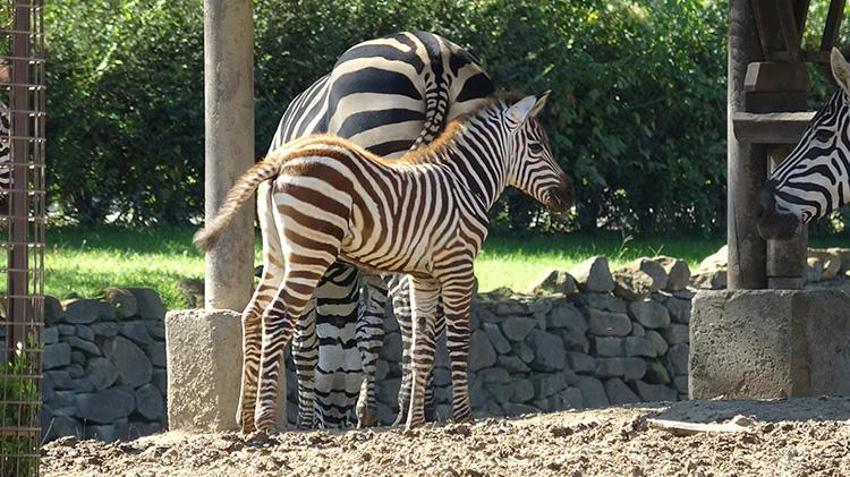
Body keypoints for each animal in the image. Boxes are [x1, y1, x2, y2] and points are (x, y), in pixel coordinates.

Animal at [194, 90, 574, 432]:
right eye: (537, 148)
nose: (569, 196)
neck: (464, 183)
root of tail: (282, 160)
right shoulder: (458, 265)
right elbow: (458, 341)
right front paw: (464, 419)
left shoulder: (424, 275)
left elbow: (422, 345)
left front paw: (414, 423)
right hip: (310, 252)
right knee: (275, 316)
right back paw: (264, 423)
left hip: (278, 253)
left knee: (252, 315)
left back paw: (244, 418)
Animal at [263, 31, 494, 429]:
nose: (334, 422)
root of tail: (433, 51)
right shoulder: (377, 252)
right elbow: (368, 331)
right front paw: (365, 411)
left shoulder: (323, 258)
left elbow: (309, 345)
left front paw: (309, 423)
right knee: (435, 309)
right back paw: (421, 406)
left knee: (407, 305)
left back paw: (409, 409)